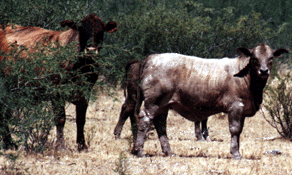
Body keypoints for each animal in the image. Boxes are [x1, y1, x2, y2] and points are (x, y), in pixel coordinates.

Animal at [1, 13, 117, 151]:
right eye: (81, 30)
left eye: (100, 31)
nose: (91, 50)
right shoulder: (56, 92)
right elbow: (60, 118)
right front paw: (61, 145)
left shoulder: (85, 92)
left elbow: (81, 119)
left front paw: (82, 145)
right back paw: (9, 143)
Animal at [133, 43, 288, 159]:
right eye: (254, 58)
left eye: (271, 58)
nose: (264, 71)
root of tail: (152, 57)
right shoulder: (235, 106)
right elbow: (234, 129)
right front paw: (235, 153)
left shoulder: (243, 110)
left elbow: (239, 131)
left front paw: (238, 151)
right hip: (153, 101)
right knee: (145, 120)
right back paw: (139, 151)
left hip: (164, 104)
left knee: (161, 125)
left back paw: (169, 152)